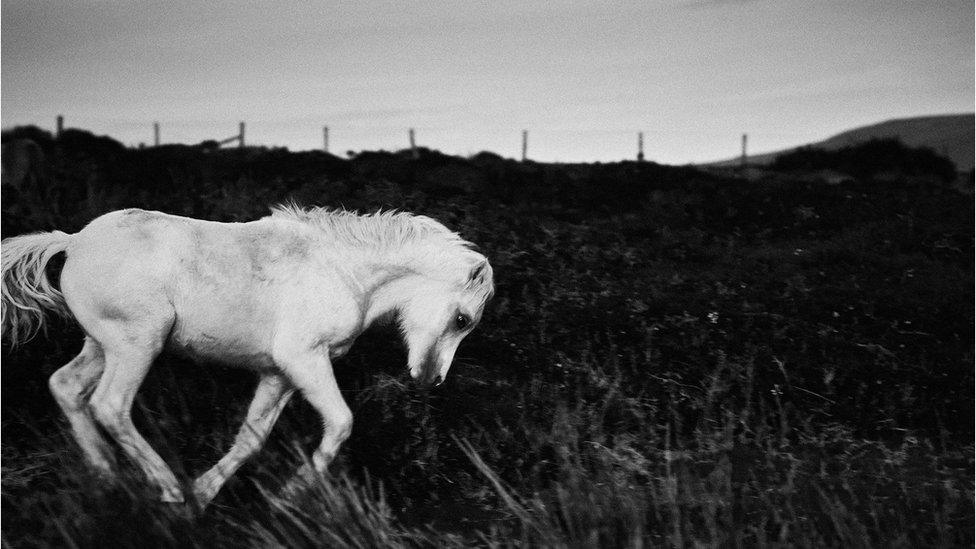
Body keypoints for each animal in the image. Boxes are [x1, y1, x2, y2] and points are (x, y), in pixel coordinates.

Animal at [0, 206, 488, 506]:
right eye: (462, 319)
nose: (432, 379)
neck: (345, 271)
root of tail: (74, 241)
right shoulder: (304, 359)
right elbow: (341, 423)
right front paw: (288, 497)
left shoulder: (280, 375)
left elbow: (251, 438)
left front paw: (205, 494)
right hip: (137, 344)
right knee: (110, 406)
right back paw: (168, 488)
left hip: (102, 345)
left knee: (67, 387)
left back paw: (108, 478)